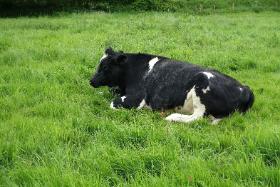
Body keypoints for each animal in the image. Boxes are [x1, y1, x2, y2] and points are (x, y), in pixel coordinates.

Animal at [89, 47, 254, 124]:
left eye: (105, 67)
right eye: (99, 65)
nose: (91, 81)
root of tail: (245, 89)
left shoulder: (136, 98)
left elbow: (112, 103)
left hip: (202, 84)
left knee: (197, 117)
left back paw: (172, 117)